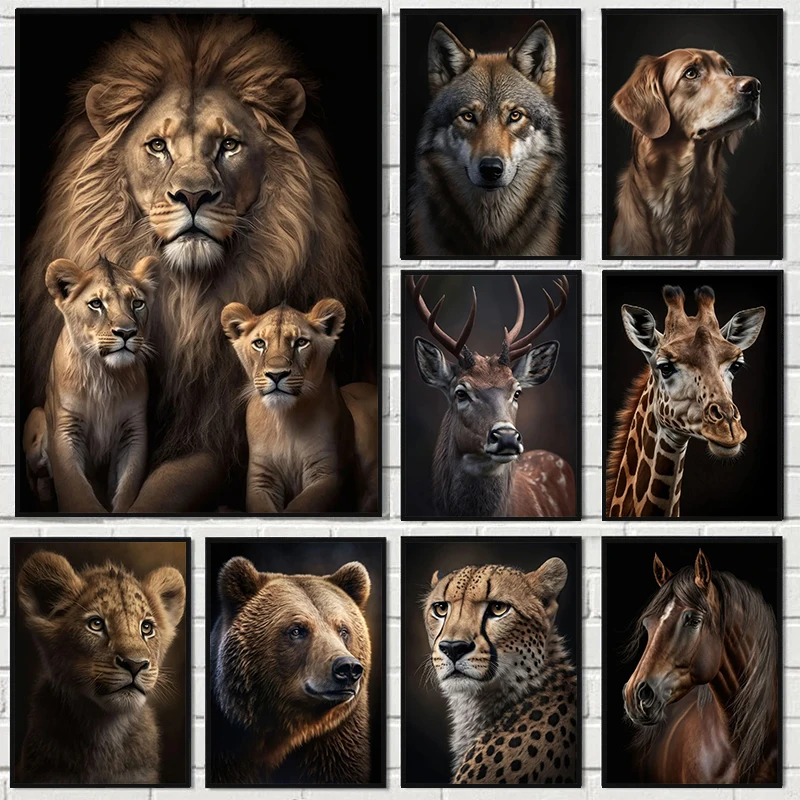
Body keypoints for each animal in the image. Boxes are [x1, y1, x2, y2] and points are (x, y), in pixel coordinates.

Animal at [23, 255, 159, 513]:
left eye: (137, 303)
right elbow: (76, 491)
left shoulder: (134, 430)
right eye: (96, 304)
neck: (104, 374)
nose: (126, 332)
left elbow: (128, 487)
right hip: (36, 416)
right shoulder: (65, 428)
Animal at [221, 298, 378, 513]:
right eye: (260, 343)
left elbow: (300, 506)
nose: (277, 374)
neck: (284, 420)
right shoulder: (261, 478)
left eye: (301, 342)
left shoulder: (325, 473)